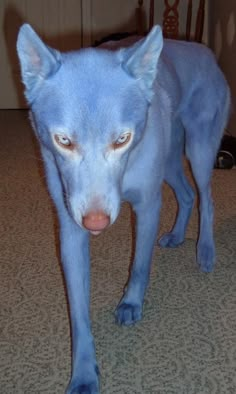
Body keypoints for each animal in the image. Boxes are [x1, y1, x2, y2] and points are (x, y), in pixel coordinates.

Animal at [17, 24, 230, 394]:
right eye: (63, 141)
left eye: (122, 139)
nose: (96, 223)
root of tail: (204, 51)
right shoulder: (70, 228)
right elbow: (78, 312)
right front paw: (83, 373)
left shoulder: (147, 206)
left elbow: (140, 265)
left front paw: (131, 303)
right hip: (171, 162)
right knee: (187, 194)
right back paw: (177, 235)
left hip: (200, 149)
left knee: (206, 197)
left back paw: (205, 251)